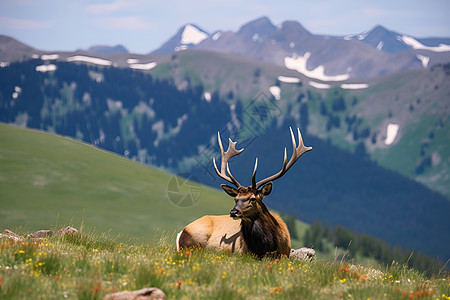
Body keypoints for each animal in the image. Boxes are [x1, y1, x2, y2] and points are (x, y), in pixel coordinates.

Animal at [177, 127, 312, 256]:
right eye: (235, 199)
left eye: (253, 198)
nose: (233, 212)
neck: (266, 248)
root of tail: (181, 232)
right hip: (195, 241)